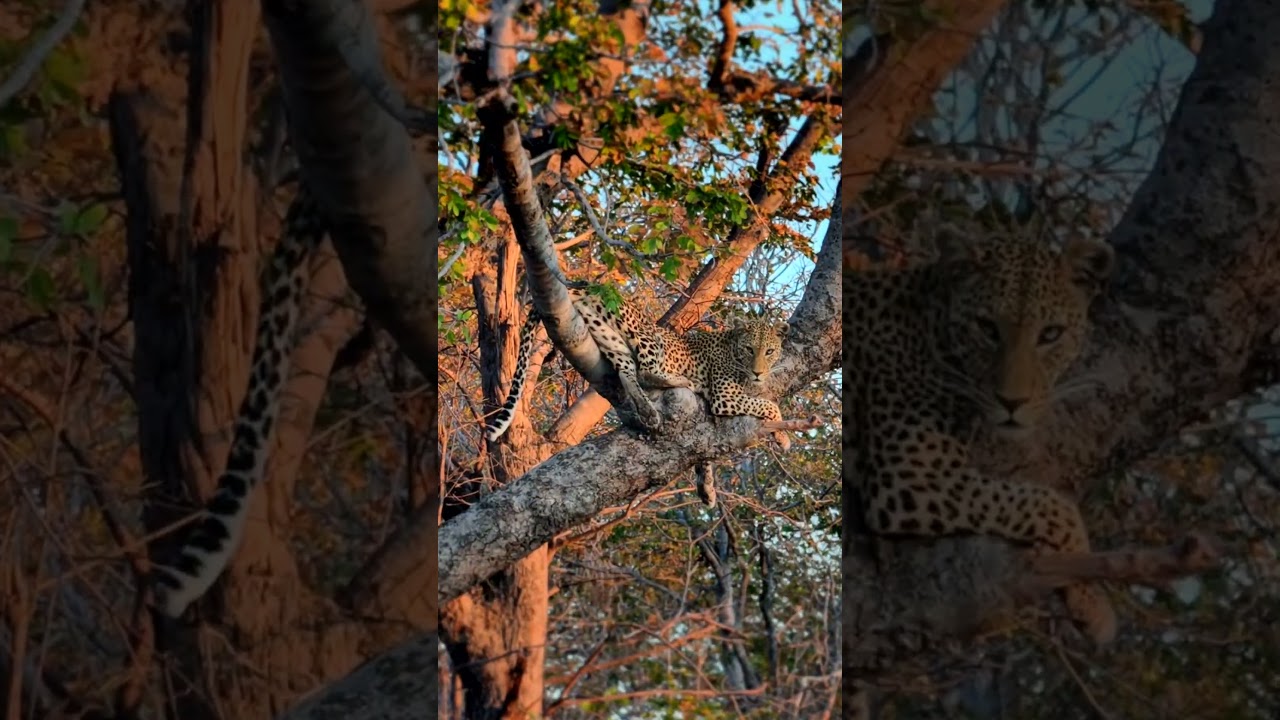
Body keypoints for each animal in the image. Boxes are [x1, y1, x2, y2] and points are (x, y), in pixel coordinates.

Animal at [484, 290, 789, 450]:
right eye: (749, 349)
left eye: (769, 351)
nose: (759, 372)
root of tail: (583, 288)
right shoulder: (723, 398)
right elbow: (769, 405)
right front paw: (784, 436)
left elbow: (762, 400)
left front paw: (779, 433)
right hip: (643, 332)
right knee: (645, 370)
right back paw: (681, 381)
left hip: (608, 336)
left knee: (627, 373)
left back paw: (650, 412)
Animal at [843, 233, 1118, 715]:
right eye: (987, 328)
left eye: (1051, 334)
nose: (1013, 403)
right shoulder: (904, 480)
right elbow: (1049, 503)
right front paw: (1093, 602)